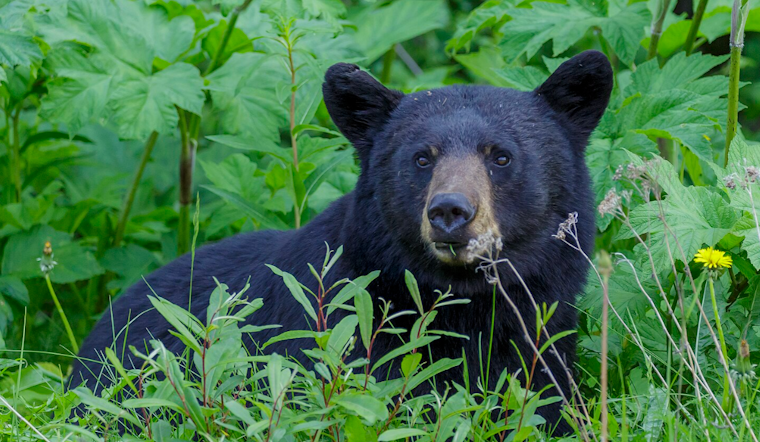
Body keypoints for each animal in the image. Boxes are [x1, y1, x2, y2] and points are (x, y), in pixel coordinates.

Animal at [70, 50, 612, 434]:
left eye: (500, 156)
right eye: (422, 157)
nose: (450, 211)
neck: (464, 306)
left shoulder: (543, 340)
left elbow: (547, 405)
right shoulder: (341, 339)